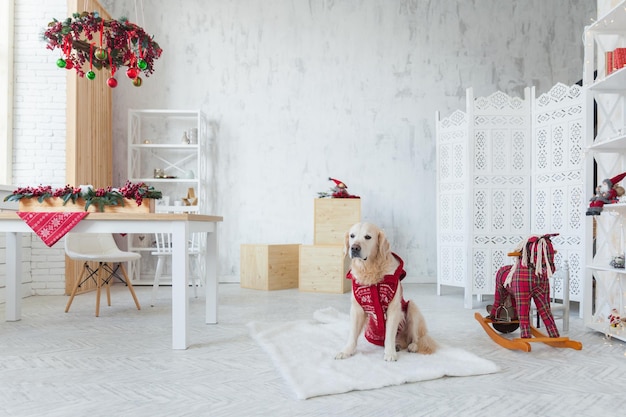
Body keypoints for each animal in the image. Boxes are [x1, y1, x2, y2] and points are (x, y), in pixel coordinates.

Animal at [334, 221, 436, 360]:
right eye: (352, 236)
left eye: (368, 237)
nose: (354, 248)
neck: (370, 270)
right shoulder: (357, 308)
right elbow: (352, 334)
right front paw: (346, 351)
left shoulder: (393, 308)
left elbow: (389, 335)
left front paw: (390, 353)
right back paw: (398, 345)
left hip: (412, 308)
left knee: (416, 338)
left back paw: (411, 346)